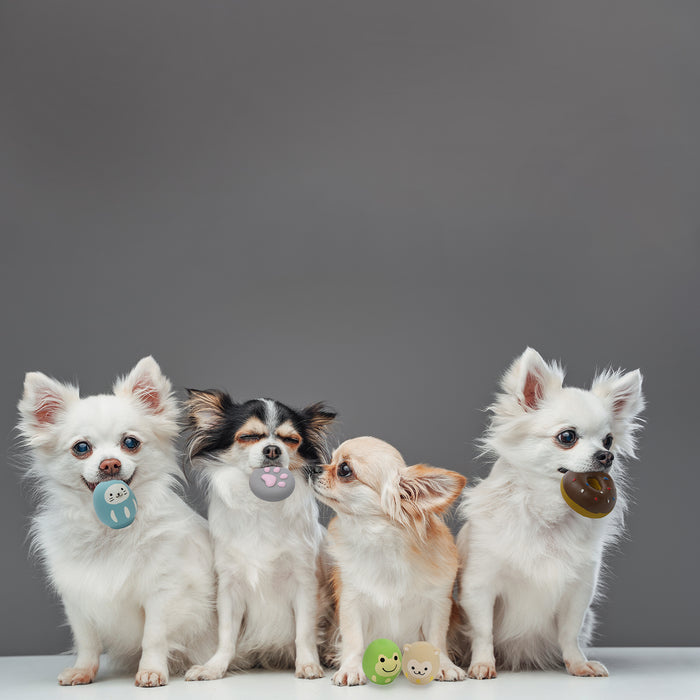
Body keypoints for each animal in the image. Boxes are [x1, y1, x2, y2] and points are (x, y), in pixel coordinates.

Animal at [19, 358, 216, 688]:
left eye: (130, 443)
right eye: (81, 448)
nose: (110, 464)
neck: (107, 530)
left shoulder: (163, 592)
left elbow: (154, 637)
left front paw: (151, 671)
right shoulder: (77, 599)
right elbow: (87, 641)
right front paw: (83, 670)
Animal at [456, 350, 644, 680]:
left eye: (608, 440)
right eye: (567, 437)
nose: (606, 456)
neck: (547, 512)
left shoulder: (578, 592)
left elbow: (569, 633)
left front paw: (579, 664)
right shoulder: (480, 586)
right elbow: (483, 631)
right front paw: (482, 664)